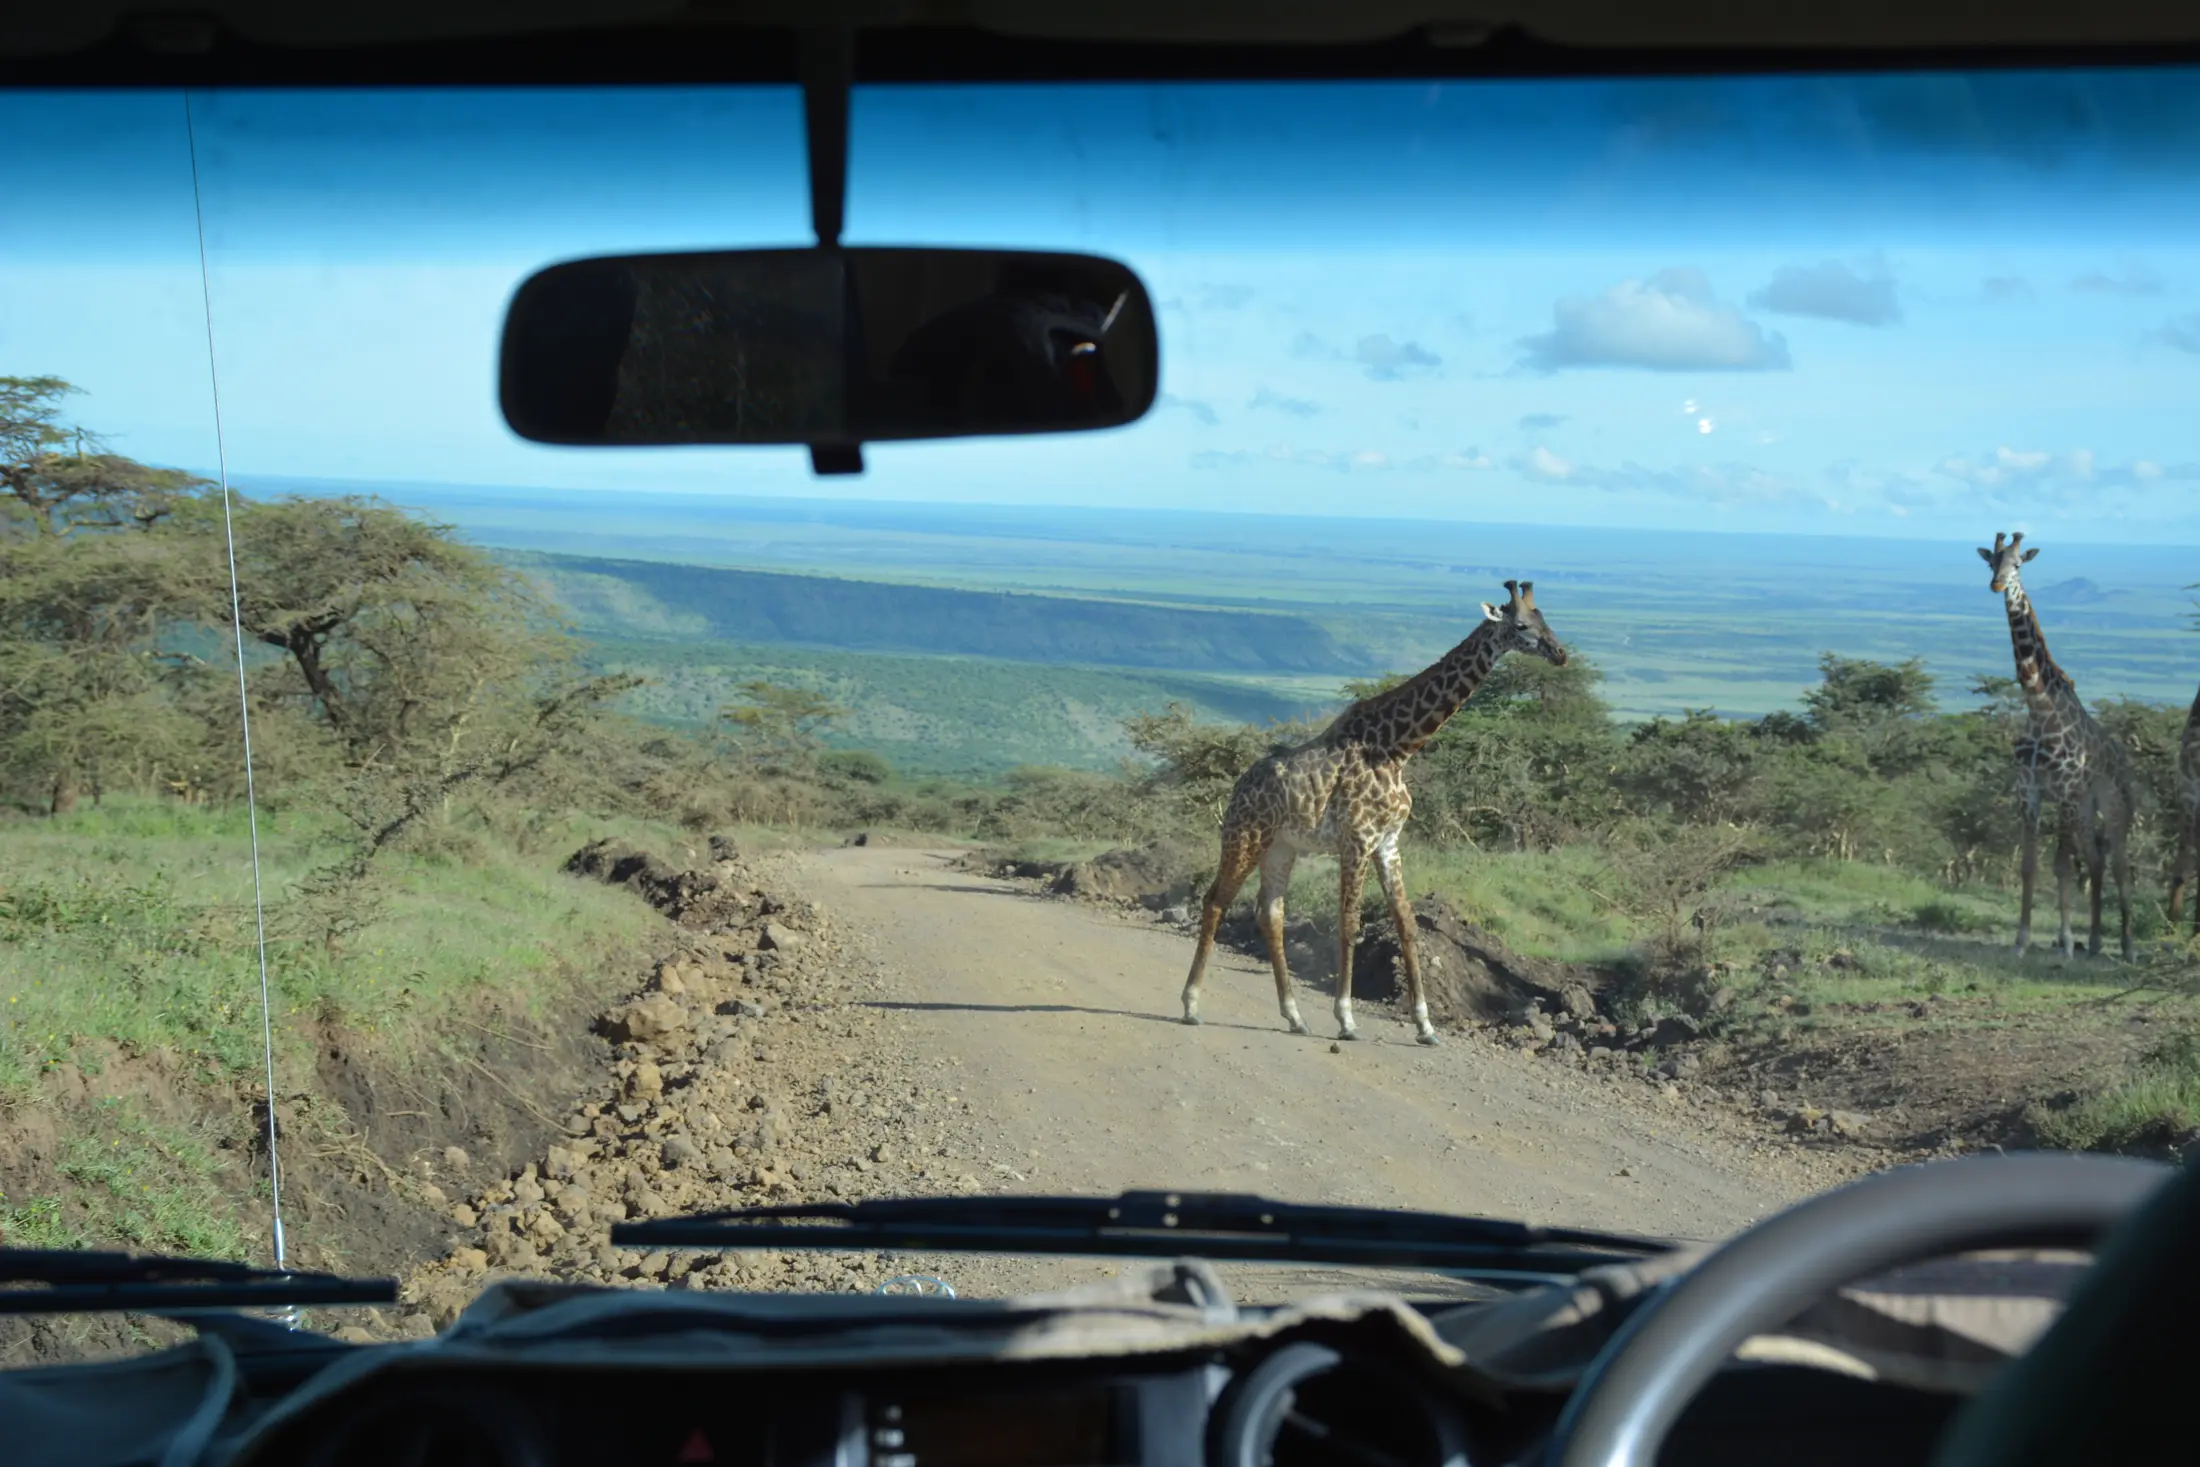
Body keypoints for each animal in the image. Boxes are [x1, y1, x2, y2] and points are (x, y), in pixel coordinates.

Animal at [1178, 579, 1568, 1044]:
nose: (1561, 653)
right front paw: (1346, 1019)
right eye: (1523, 625)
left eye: (1546, 619)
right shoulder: (1357, 839)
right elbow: (1350, 923)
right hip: (1245, 836)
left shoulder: (1388, 842)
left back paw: (1294, 1016)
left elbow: (1407, 924)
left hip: (1281, 847)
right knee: (1216, 901)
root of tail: (1239, 785)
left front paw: (1425, 1025)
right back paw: (1191, 1005)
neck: (1397, 749)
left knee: (1270, 912)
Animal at [1979, 531, 2136, 961]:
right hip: (2083, 810)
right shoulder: (2028, 790)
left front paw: (2064, 942)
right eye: (1991, 562)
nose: (1997, 584)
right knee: (2096, 862)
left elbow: (2062, 866)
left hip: (2113, 806)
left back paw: (2127, 947)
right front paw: (2022, 941)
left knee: (2119, 865)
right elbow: (2030, 866)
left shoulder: (2064, 791)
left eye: (2018, 564)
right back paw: (2095, 941)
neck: (2039, 705)